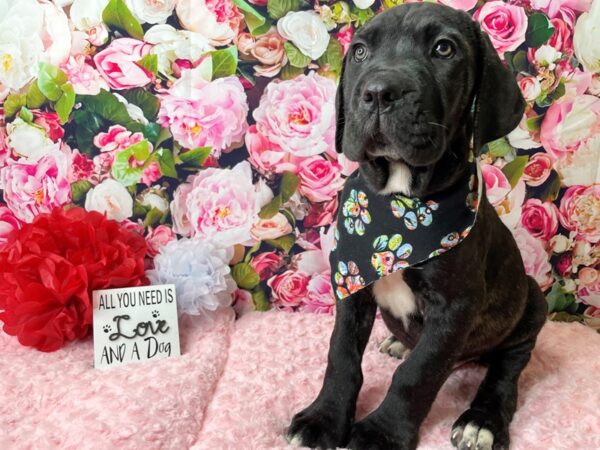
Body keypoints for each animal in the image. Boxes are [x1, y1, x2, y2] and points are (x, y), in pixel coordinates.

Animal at [288, 3, 548, 450]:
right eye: (359, 52)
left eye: (444, 48)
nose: (378, 92)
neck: (400, 204)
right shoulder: (352, 286)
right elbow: (341, 356)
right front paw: (323, 419)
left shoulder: (454, 308)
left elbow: (418, 374)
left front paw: (381, 433)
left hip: (531, 302)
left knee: (507, 369)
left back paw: (482, 420)